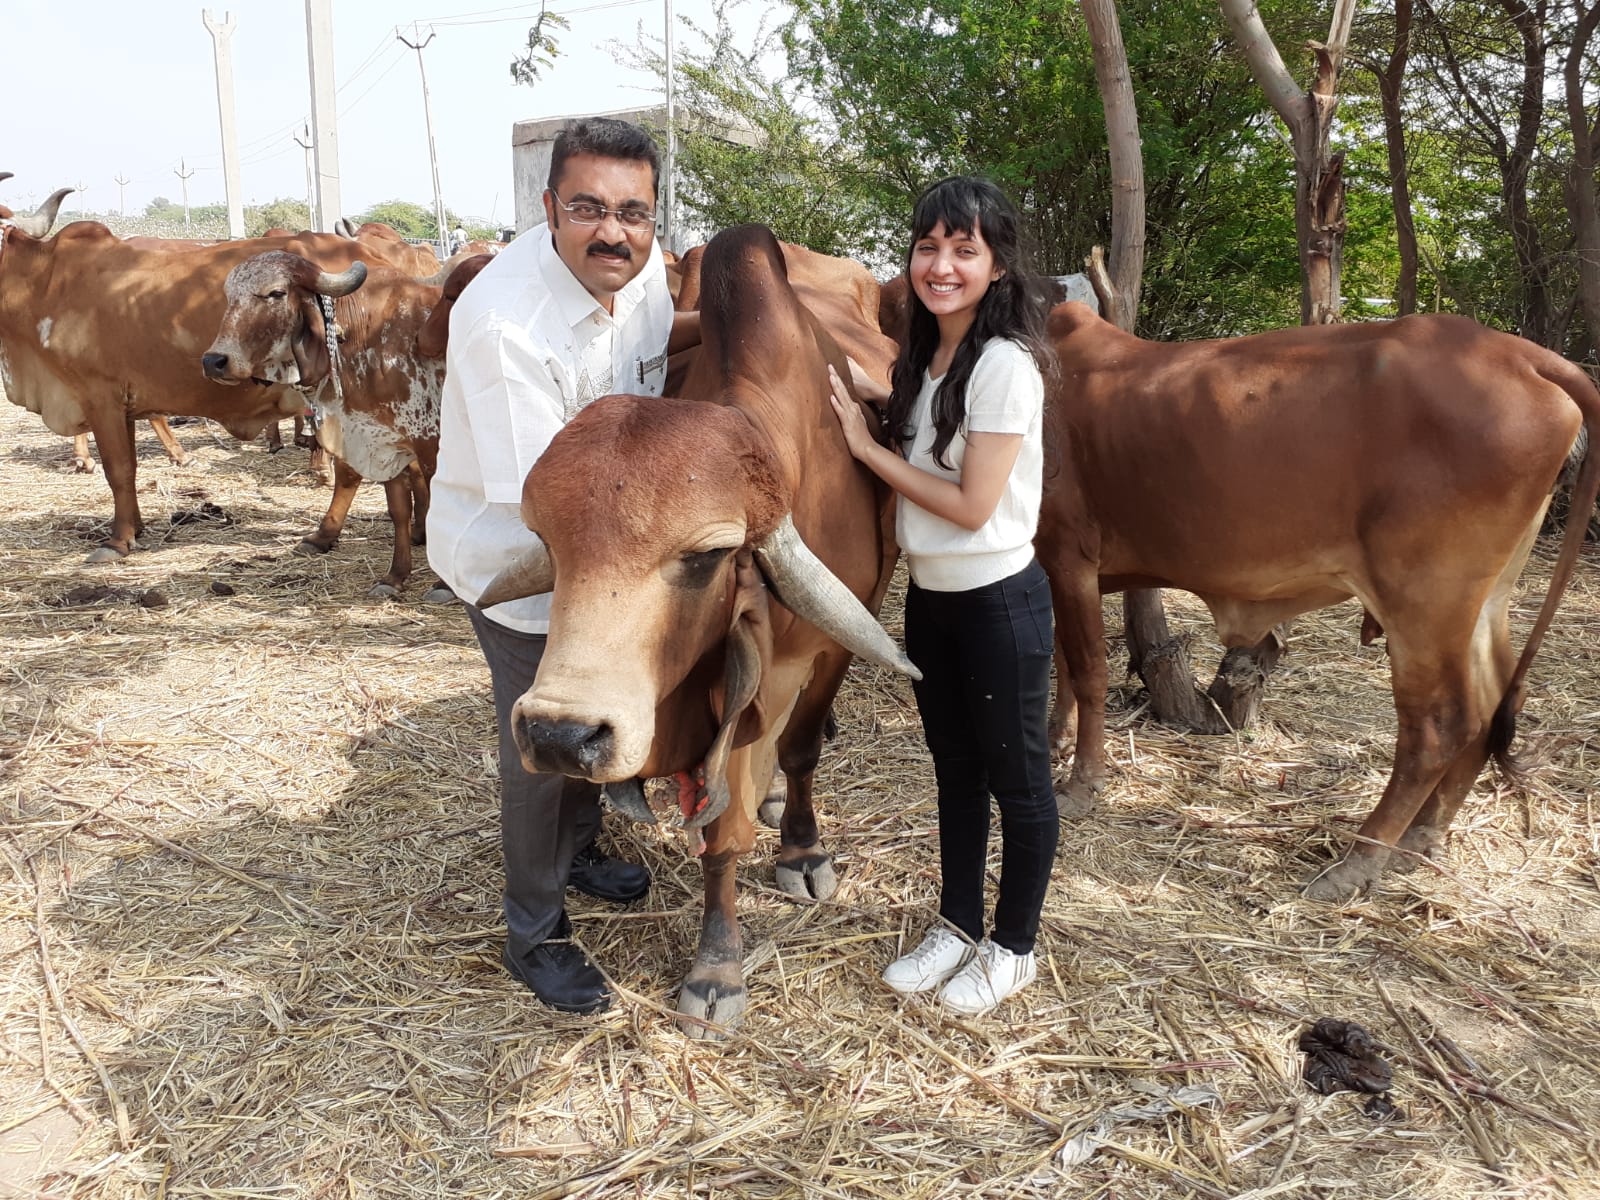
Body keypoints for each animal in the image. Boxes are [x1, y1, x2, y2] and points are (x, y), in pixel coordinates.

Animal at [204, 251, 451, 598]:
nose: (214, 361)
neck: (366, 335)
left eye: (276, 293)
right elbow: (397, 509)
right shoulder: (382, 444)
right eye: (229, 296)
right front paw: (395, 576)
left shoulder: (430, 441)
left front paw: (444, 584)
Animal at [473, 224, 915, 1036]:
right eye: (546, 541)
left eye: (708, 556)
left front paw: (798, 853)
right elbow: (719, 830)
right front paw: (719, 958)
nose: (560, 734)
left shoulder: (826, 649)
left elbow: (790, 759)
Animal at [1036, 302, 1600, 902]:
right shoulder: (1053, 568)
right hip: (1484, 598)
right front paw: (1054, 741)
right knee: (1493, 704)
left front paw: (1081, 784)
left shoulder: (1069, 553)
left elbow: (1087, 669)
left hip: (1425, 599)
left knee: (1440, 725)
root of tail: (1528, 356)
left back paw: (1359, 860)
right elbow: (1062, 661)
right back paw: (1422, 836)